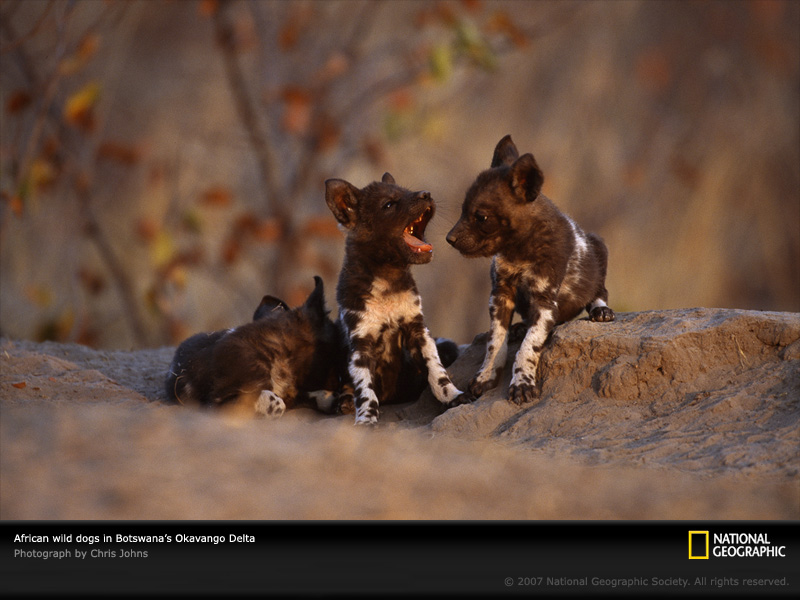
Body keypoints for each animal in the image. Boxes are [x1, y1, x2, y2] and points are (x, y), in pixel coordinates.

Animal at [324, 172, 476, 426]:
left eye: (407, 192)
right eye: (388, 205)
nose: (426, 194)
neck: (387, 282)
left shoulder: (419, 332)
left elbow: (438, 373)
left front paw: (453, 396)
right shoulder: (360, 346)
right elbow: (365, 390)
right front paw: (366, 419)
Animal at [446, 135, 616, 406]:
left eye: (481, 217)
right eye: (463, 210)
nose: (449, 239)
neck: (519, 252)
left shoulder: (545, 304)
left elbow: (527, 348)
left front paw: (522, 384)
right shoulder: (500, 296)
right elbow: (495, 343)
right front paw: (486, 375)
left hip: (599, 246)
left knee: (599, 291)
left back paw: (601, 311)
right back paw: (519, 327)